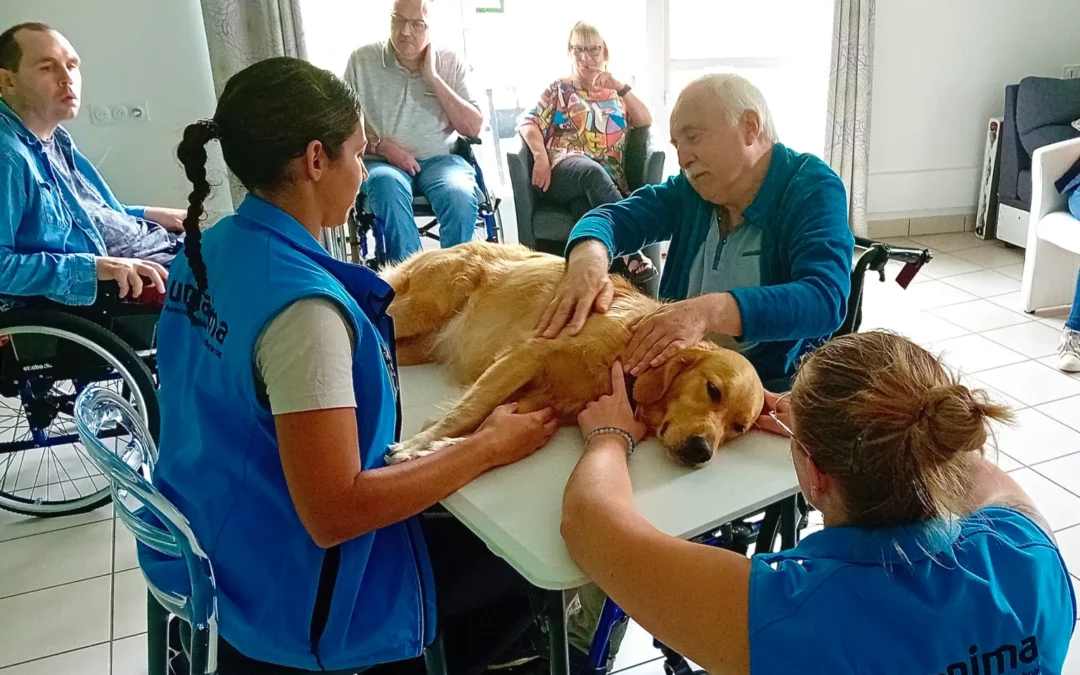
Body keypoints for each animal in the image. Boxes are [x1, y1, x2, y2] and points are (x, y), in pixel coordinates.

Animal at [384, 241, 764, 468]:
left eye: (738, 427)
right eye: (713, 390)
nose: (702, 451)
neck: (623, 360)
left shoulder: (539, 401)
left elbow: (478, 426)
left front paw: (434, 448)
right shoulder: (526, 355)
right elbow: (466, 412)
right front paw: (416, 445)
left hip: (414, 346)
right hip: (414, 310)